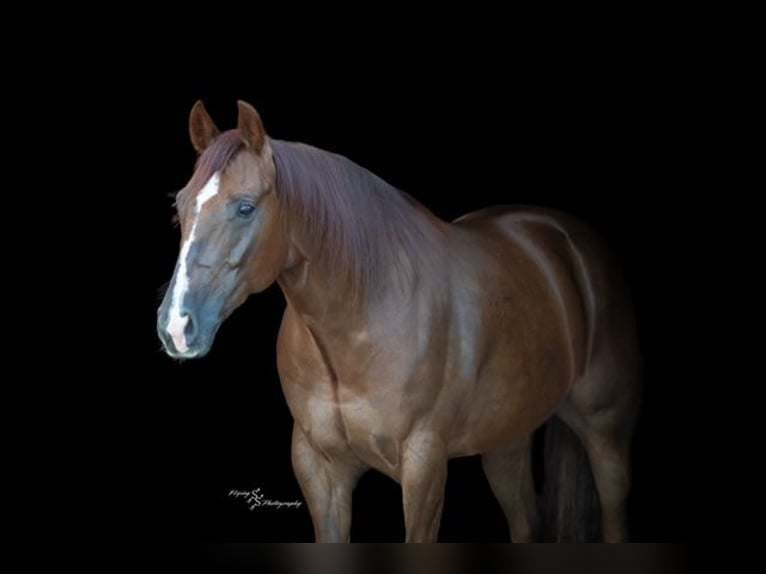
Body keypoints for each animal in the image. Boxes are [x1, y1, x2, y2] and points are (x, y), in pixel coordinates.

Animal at [157, 100, 641, 542]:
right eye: (179, 205)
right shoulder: (319, 470)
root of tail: (568, 240)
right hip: (507, 439)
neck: (361, 317)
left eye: (244, 207)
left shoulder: (423, 467)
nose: (176, 326)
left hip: (605, 430)